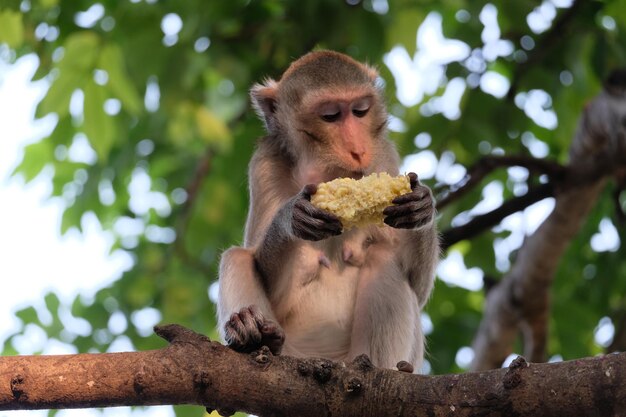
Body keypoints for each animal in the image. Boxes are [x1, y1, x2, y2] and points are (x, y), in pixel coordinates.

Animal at [217, 49, 436, 370]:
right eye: (330, 116)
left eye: (359, 111)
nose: (358, 151)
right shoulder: (265, 164)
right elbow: (265, 273)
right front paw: (291, 217)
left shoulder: (384, 155)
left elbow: (418, 288)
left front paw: (421, 205)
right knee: (236, 257)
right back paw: (254, 335)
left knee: (384, 258)